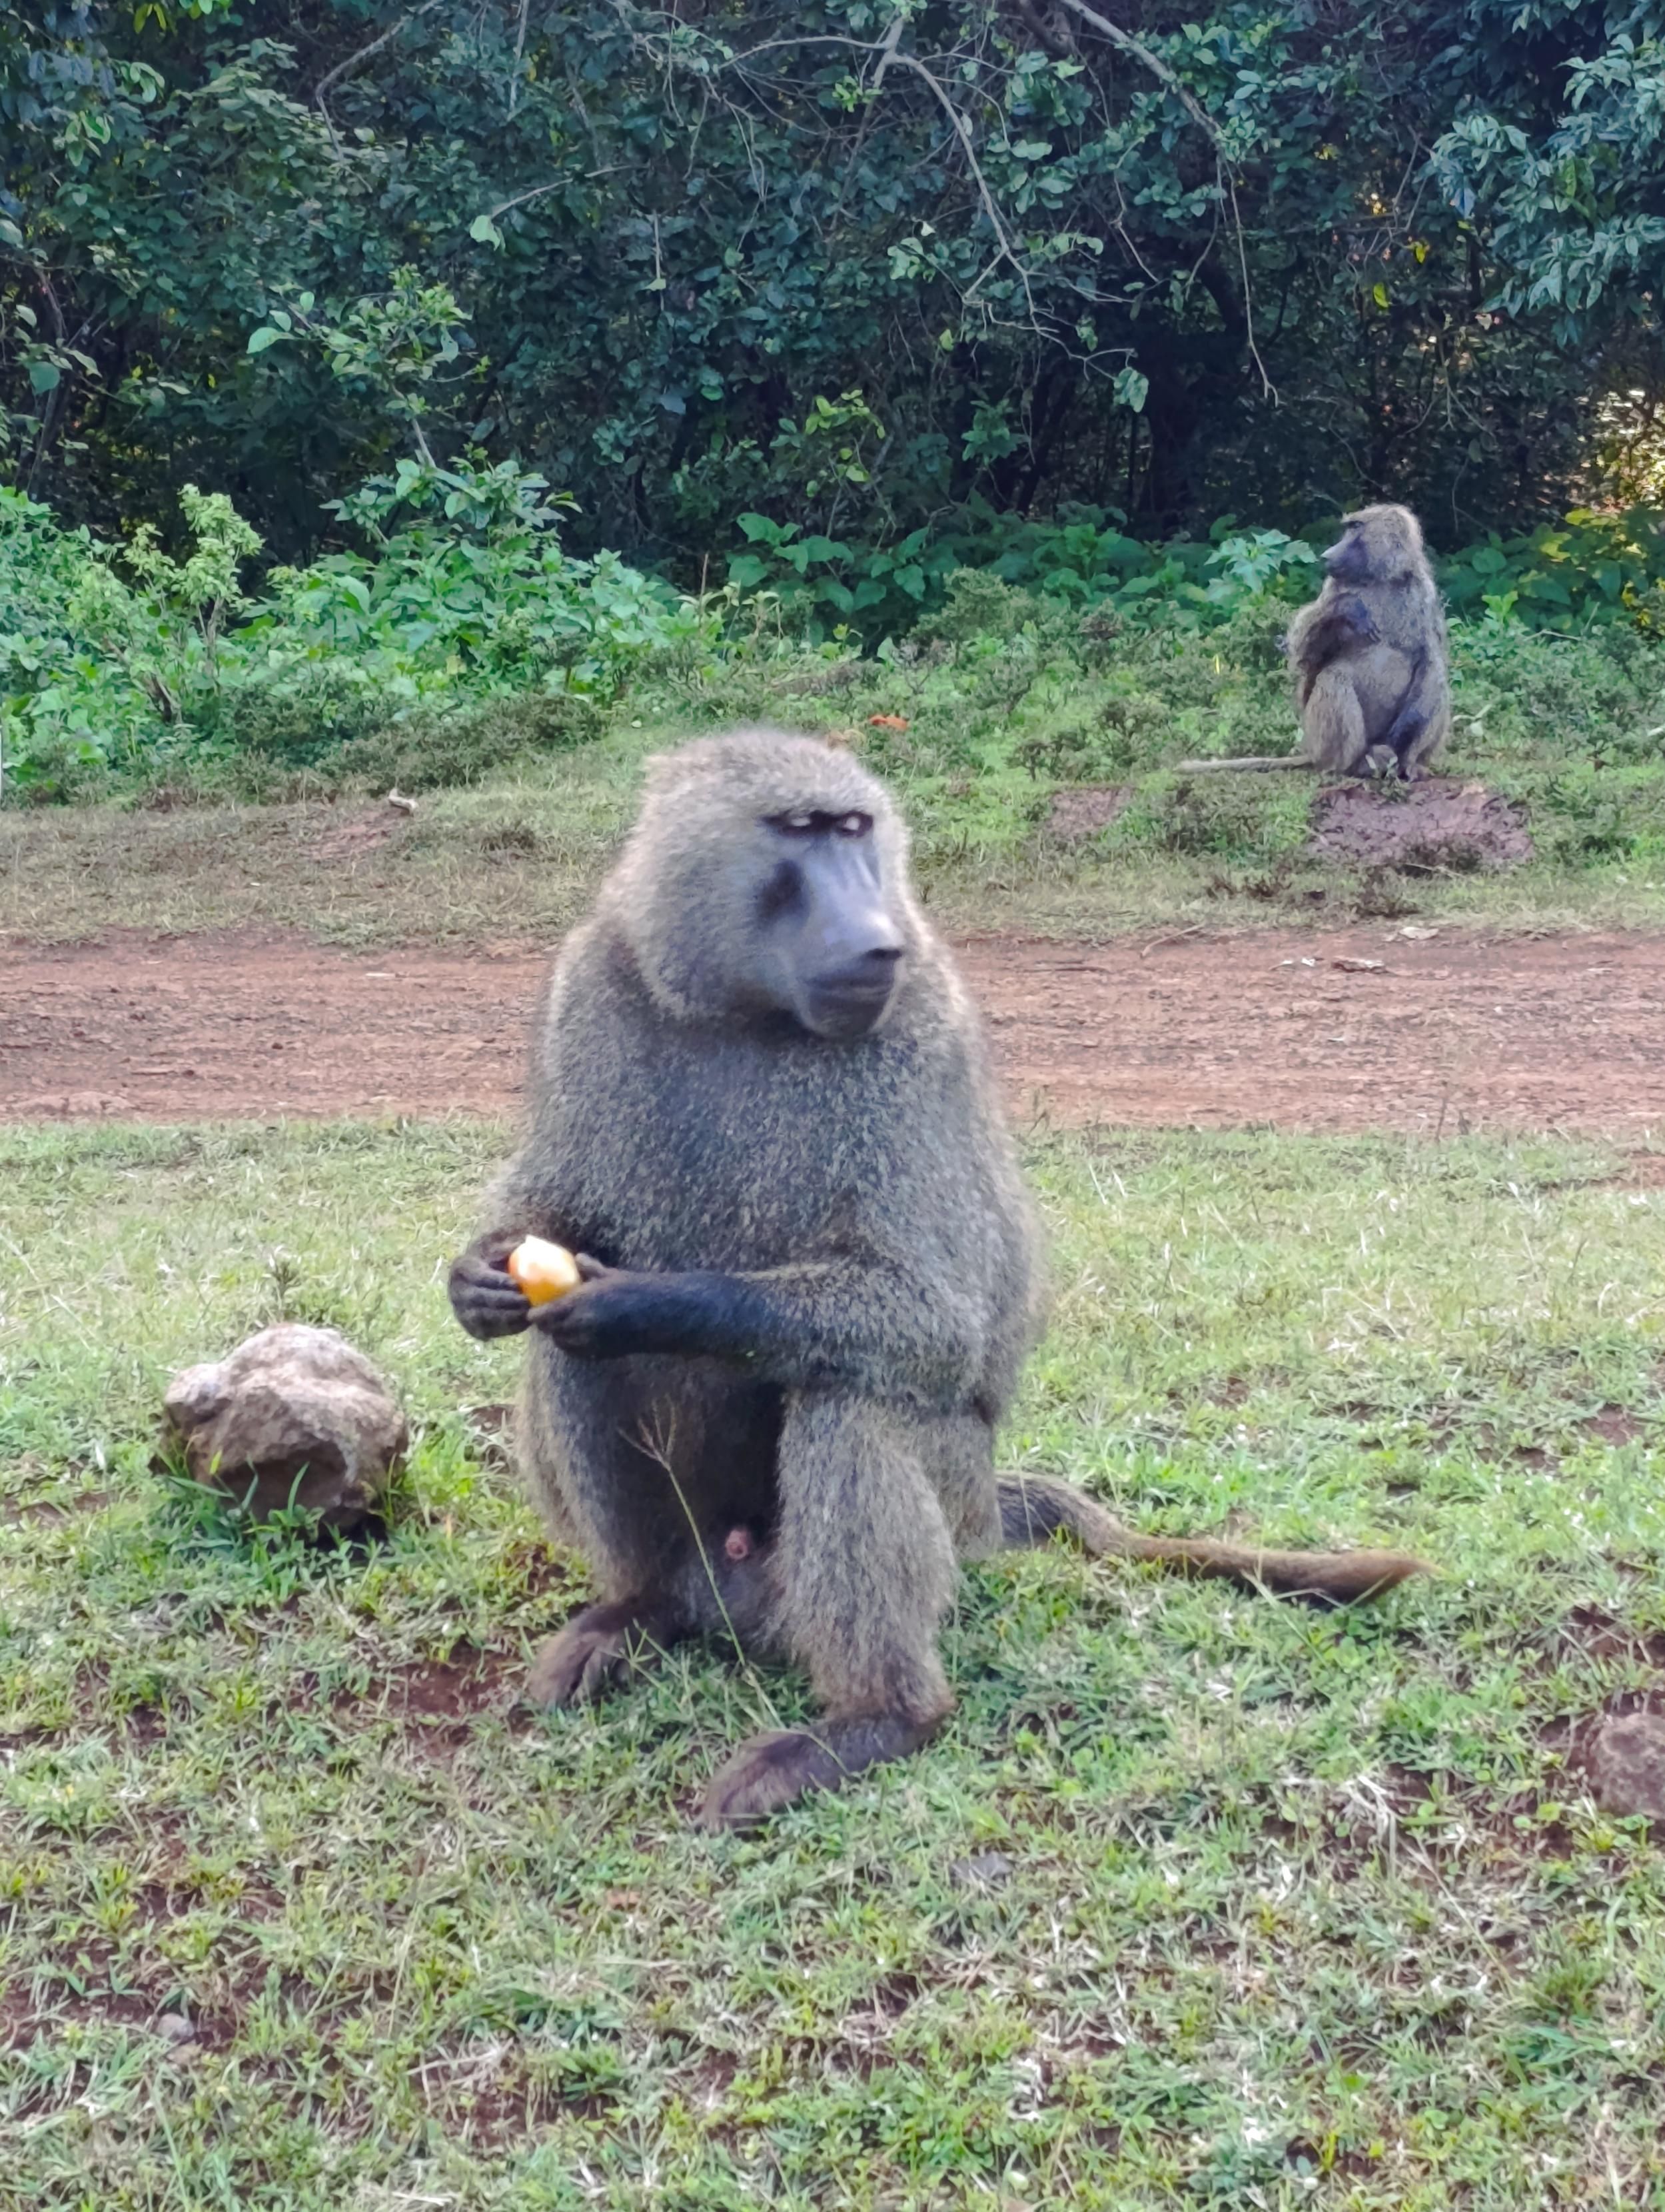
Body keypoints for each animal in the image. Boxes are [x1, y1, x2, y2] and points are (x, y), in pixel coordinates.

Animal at [448, 729, 1427, 1829]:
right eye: (798, 830)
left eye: (854, 829)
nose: (875, 941)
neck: (747, 1011)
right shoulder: (590, 982)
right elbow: (548, 1205)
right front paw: (477, 1276)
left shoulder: (917, 1031)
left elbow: (931, 1321)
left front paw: (639, 1300)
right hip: (709, 1557)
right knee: (565, 1361)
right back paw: (633, 1609)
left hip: (942, 1506)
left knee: (848, 1397)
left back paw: (878, 1716)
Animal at [1177, 503, 1451, 781]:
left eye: (1355, 527)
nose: (1327, 555)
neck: (1380, 580)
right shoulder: (1332, 588)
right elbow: (1305, 657)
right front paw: (1347, 610)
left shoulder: (1424, 593)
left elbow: (1429, 661)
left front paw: (1403, 736)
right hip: (1321, 741)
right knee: (1334, 678)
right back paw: (1353, 765)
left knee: (1437, 681)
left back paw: (1408, 763)